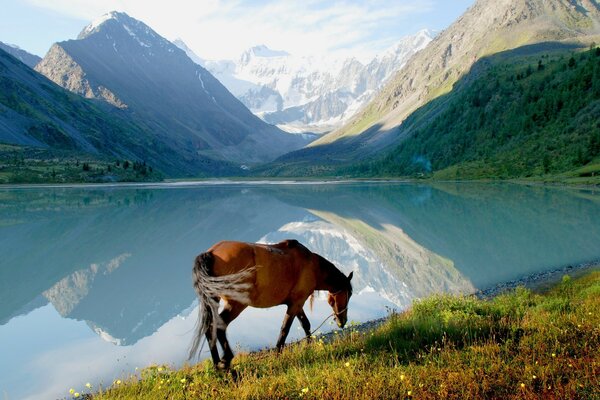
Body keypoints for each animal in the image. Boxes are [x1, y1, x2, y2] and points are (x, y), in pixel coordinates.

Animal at [190, 239, 354, 370]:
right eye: (349, 294)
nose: (342, 321)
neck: (312, 265)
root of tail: (210, 253)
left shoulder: (296, 303)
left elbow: (305, 324)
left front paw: (309, 346)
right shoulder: (296, 304)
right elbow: (285, 330)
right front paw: (278, 356)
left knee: (210, 327)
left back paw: (218, 366)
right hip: (236, 304)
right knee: (219, 326)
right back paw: (226, 362)